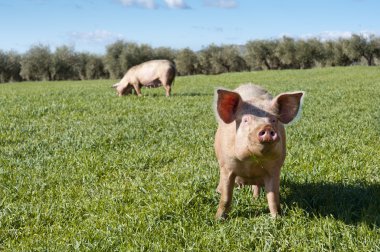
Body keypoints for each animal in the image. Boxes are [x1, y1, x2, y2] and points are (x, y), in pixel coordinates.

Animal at [215, 83, 304, 219]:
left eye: (274, 120)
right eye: (245, 120)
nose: (266, 128)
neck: (251, 163)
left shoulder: (275, 169)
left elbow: (273, 197)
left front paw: (276, 218)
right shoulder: (227, 166)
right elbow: (226, 197)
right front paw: (218, 219)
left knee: (256, 186)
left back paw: (255, 199)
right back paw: (218, 191)